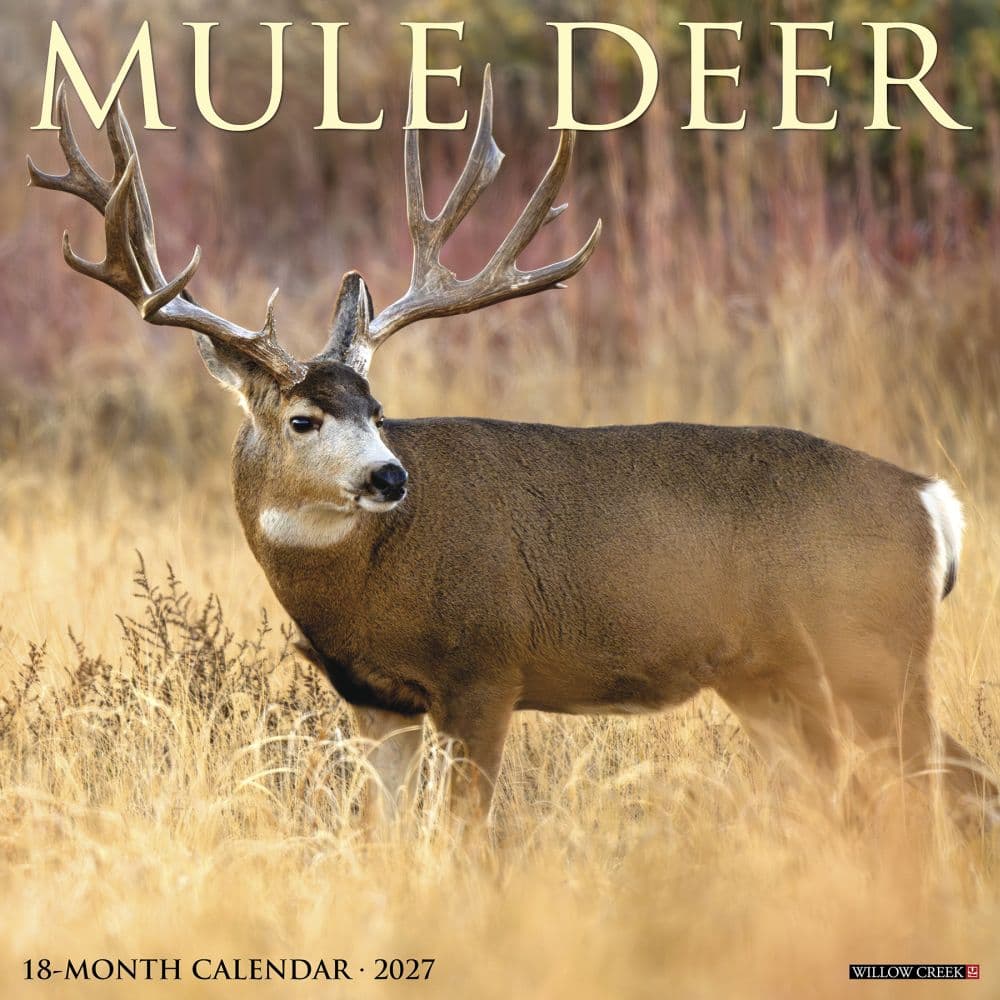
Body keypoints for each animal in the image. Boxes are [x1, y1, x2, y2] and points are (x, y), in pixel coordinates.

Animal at [30, 71, 996, 829]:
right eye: (305, 418)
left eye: (377, 408)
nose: (389, 475)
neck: (367, 583)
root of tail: (931, 501)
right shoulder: (373, 698)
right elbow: (383, 837)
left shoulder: (484, 666)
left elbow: (465, 836)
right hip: (779, 684)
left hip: (873, 659)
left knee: (954, 790)